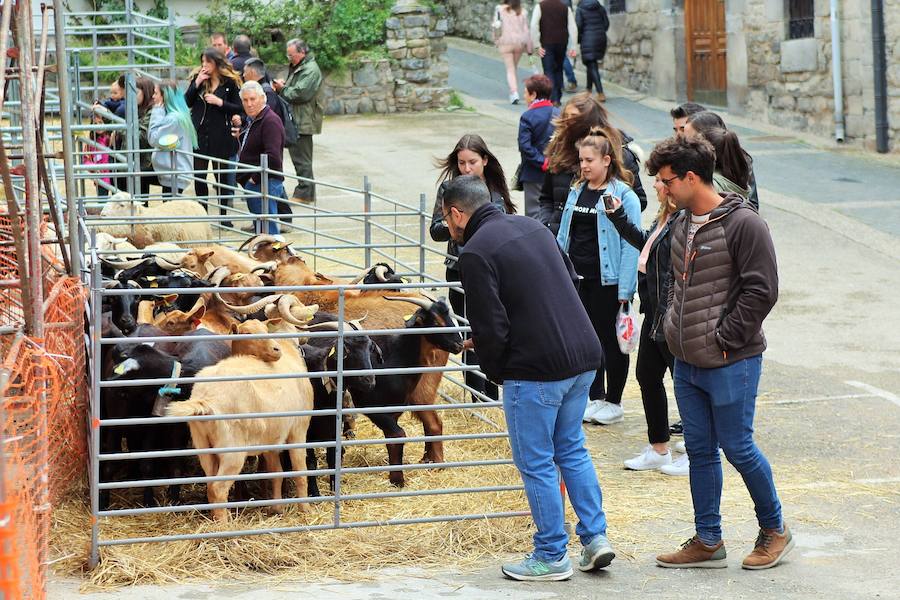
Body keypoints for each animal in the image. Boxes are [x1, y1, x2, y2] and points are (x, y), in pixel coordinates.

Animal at [168, 318, 316, 520]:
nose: (276, 350)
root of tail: (206, 399)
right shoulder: (298, 430)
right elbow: (300, 471)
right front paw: (305, 509)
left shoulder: (272, 439)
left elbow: (276, 473)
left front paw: (277, 508)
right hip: (232, 449)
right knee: (218, 488)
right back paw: (224, 525)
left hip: (203, 445)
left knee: (210, 485)